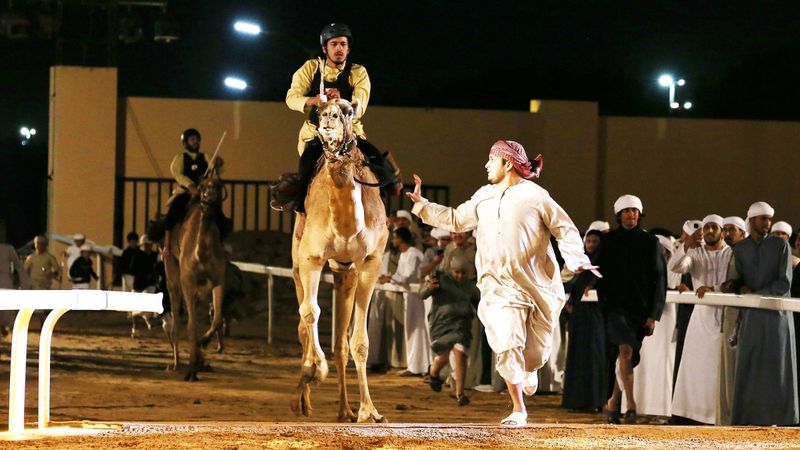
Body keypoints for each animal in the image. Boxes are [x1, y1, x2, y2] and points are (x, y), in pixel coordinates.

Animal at [162, 176, 225, 380]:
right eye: (202, 186)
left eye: (218, 185)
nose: (208, 195)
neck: (201, 254)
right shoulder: (187, 281)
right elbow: (191, 326)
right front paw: (191, 371)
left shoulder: (218, 279)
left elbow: (217, 318)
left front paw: (204, 343)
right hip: (172, 273)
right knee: (176, 319)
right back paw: (176, 365)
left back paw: (200, 361)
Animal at [292, 97, 392, 422]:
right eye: (319, 109)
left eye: (348, 110)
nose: (329, 118)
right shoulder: (311, 257)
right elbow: (310, 313)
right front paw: (315, 368)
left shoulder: (371, 263)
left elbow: (359, 342)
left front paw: (369, 411)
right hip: (298, 263)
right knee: (302, 324)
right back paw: (303, 398)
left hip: (345, 272)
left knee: (341, 343)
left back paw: (345, 410)